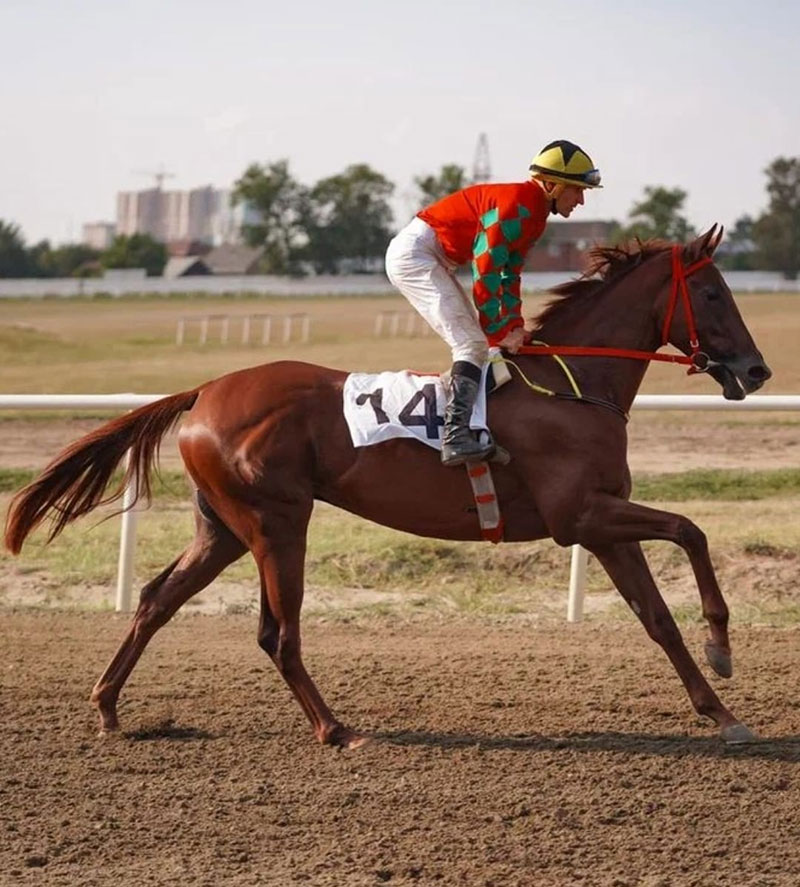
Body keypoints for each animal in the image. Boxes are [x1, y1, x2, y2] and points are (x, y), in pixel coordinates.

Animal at [4, 225, 771, 748]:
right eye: (711, 291)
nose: (757, 369)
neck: (575, 385)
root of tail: (205, 390)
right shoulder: (581, 516)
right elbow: (691, 530)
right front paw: (723, 644)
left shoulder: (602, 521)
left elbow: (657, 616)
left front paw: (722, 710)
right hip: (276, 521)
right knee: (277, 633)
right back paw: (335, 728)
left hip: (223, 527)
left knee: (158, 599)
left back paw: (108, 705)